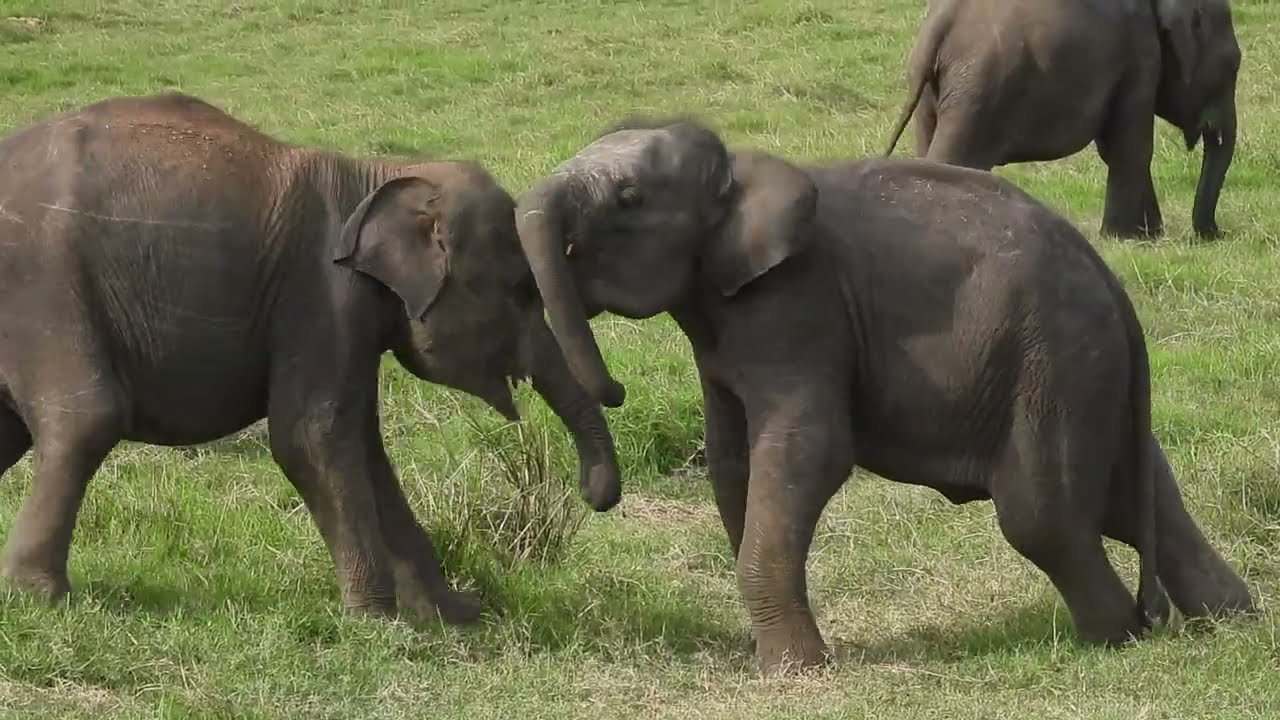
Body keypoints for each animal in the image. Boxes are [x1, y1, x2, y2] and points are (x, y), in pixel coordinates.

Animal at [0, 92, 623, 624]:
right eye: (520, 291)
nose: (592, 496)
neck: (380, 174)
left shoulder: (356, 318)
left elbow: (366, 449)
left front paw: (453, 614)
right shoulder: (323, 294)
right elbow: (312, 436)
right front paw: (377, 618)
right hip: (44, 287)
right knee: (87, 419)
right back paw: (41, 596)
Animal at [513, 116, 1256, 674]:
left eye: (629, 198)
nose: (615, 391)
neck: (744, 169)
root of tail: (1114, 286)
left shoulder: (798, 304)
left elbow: (808, 452)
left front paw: (796, 672)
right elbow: (732, 462)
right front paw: (769, 653)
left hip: (1052, 359)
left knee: (1042, 515)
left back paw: (1120, 637)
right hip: (1091, 373)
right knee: (1134, 496)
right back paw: (1230, 619)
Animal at [882, 0, 1241, 240]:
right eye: (1233, 64)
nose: (1215, 234)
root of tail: (940, 24)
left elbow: (1113, 147)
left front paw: (1148, 235)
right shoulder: (1140, 53)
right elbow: (1131, 148)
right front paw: (1124, 237)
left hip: (933, 91)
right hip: (978, 90)